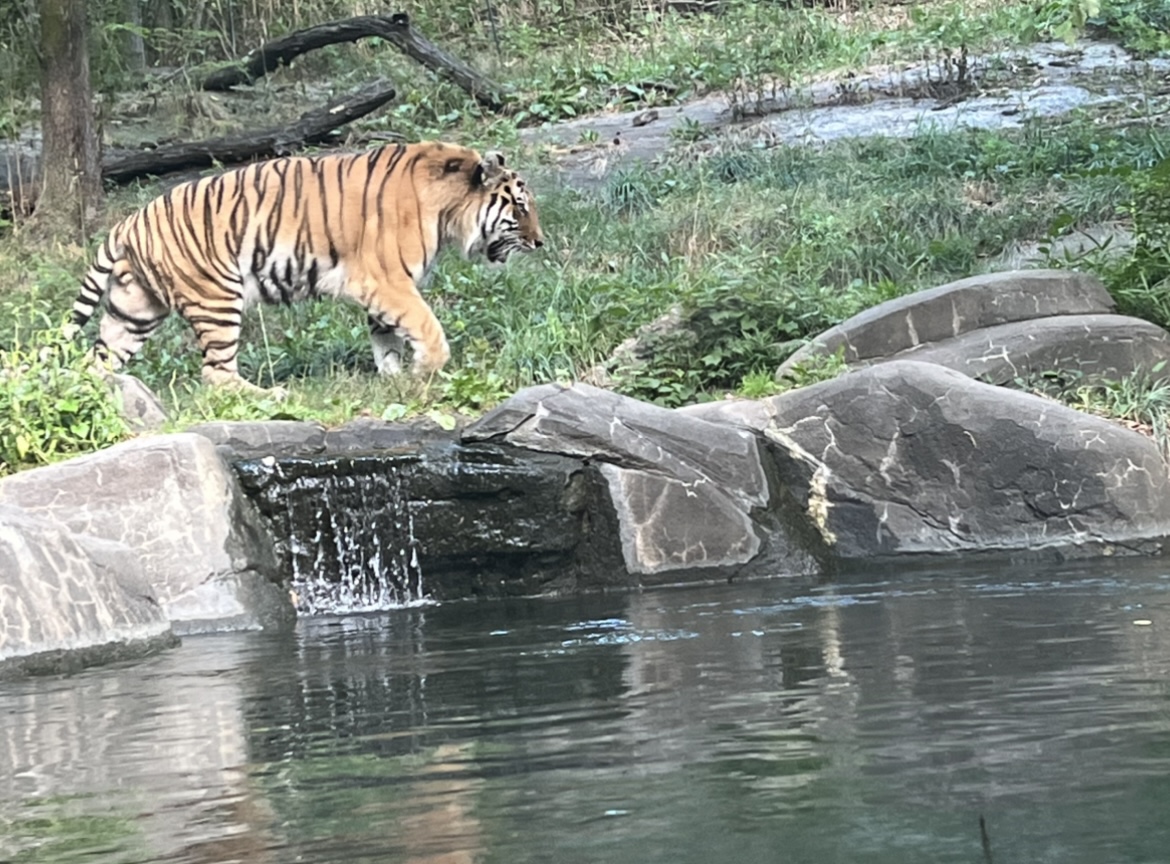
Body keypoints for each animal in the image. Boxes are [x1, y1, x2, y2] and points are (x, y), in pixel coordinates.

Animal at [66, 140, 543, 392]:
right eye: (519, 208)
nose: (541, 242)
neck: (446, 210)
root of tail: (129, 221)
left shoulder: (384, 289)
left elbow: (386, 336)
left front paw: (394, 378)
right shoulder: (386, 280)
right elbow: (427, 326)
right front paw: (426, 371)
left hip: (134, 310)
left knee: (97, 359)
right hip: (216, 299)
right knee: (216, 374)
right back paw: (269, 396)